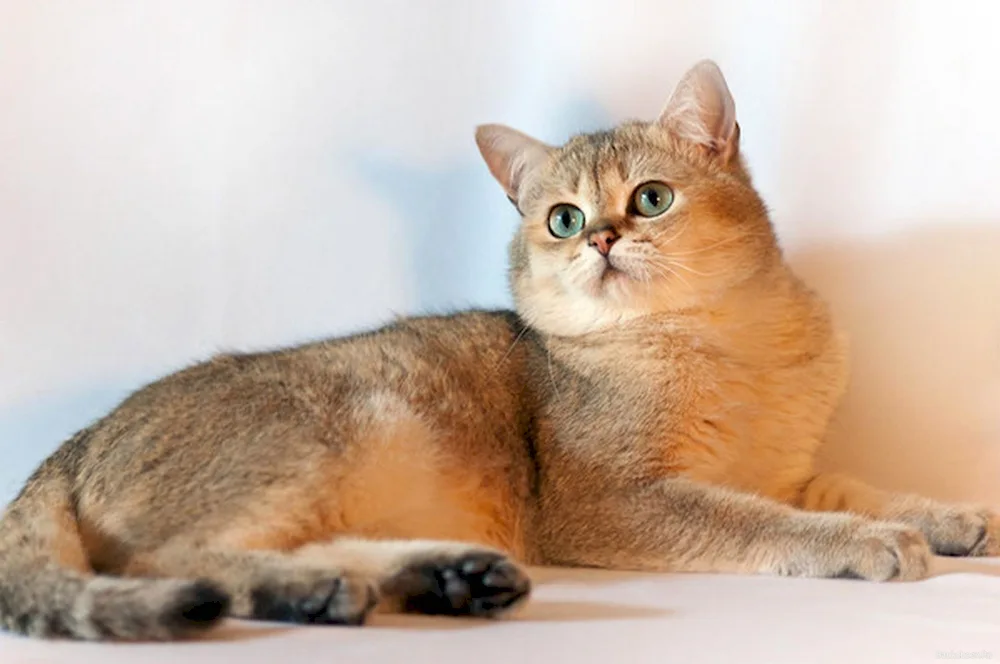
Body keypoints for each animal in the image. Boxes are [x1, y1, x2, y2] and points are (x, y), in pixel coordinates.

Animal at [1, 59, 1000, 640]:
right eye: (562, 219)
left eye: (650, 199)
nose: (601, 238)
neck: (727, 340)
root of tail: (72, 444)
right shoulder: (611, 502)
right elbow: (764, 522)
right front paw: (870, 541)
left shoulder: (783, 469)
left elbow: (851, 483)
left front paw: (954, 517)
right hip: (334, 422)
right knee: (162, 561)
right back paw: (326, 590)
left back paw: (435, 578)